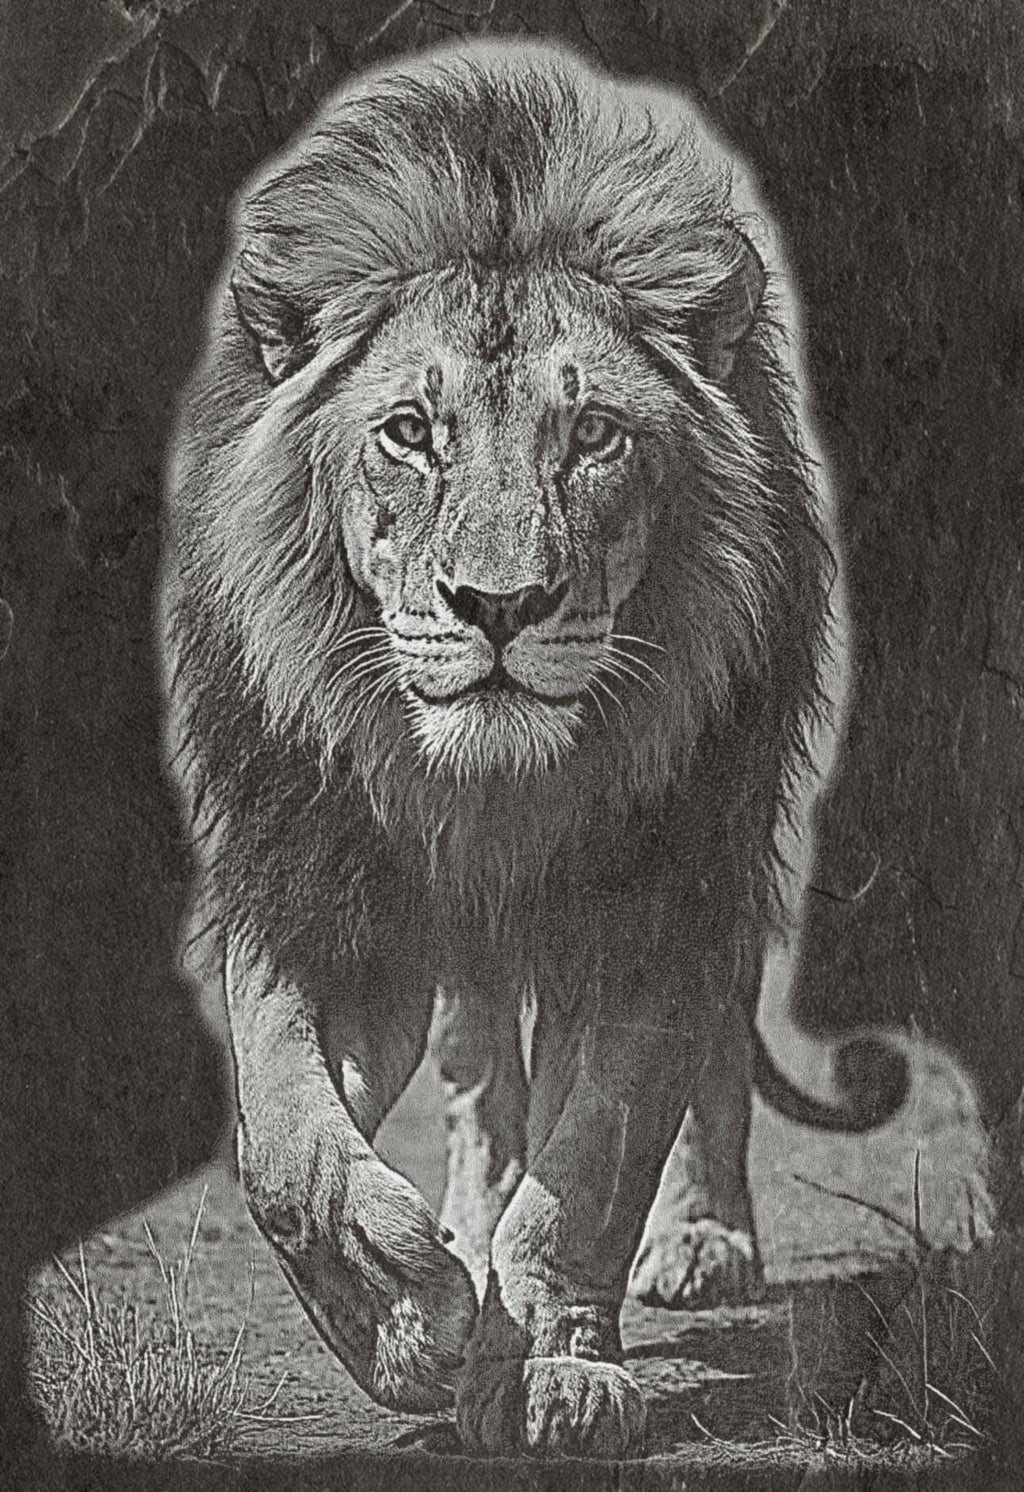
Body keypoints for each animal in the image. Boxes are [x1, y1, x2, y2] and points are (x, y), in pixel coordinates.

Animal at [161, 39, 906, 1459]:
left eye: (595, 436)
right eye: (409, 433)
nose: (497, 607)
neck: (489, 789)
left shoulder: (655, 899)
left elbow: (593, 1162)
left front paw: (550, 1365)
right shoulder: (318, 888)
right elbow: (285, 1150)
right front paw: (409, 1322)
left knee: (703, 1066)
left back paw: (699, 1239)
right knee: (475, 1073)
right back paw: (462, 1221)